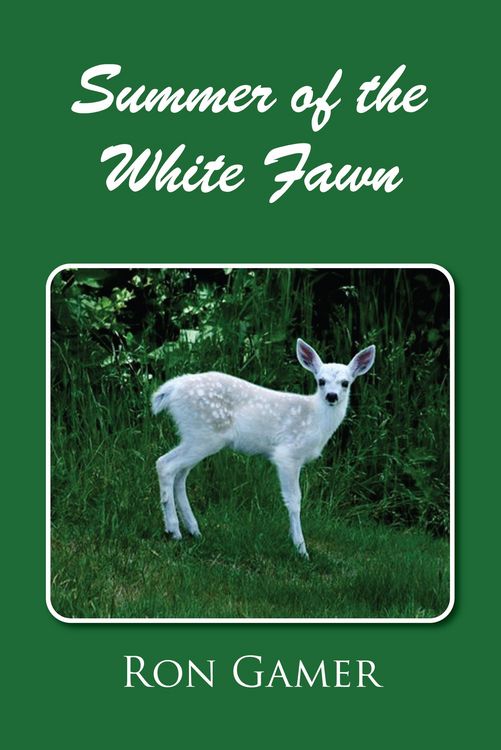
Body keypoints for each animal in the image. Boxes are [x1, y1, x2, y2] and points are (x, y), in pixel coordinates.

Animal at [151, 339, 376, 558]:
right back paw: (174, 530)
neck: (315, 419)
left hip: (195, 435)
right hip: (204, 434)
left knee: (180, 475)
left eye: (345, 383)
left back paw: (193, 530)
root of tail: (171, 389)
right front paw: (301, 549)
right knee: (165, 464)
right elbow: (294, 500)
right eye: (320, 381)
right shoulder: (287, 454)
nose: (331, 396)